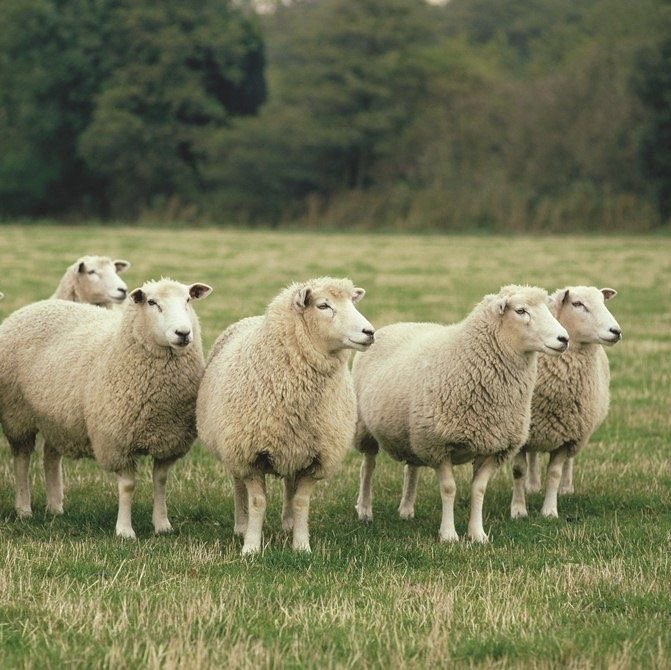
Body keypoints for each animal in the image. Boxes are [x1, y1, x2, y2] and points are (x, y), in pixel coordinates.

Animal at [0, 278, 212, 536]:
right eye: (152, 303)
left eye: (188, 300)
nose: (183, 333)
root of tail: (34, 306)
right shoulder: (117, 442)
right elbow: (128, 486)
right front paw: (124, 530)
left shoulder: (169, 440)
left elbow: (160, 481)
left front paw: (162, 524)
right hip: (17, 413)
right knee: (21, 459)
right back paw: (24, 508)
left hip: (57, 417)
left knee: (50, 456)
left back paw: (55, 507)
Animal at [197, 277, 375, 555]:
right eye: (323, 305)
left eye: (352, 303)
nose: (370, 332)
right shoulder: (249, 455)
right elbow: (257, 502)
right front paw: (251, 546)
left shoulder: (317, 456)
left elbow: (301, 501)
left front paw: (301, 545)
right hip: (232, 447)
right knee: (238, 486)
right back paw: (241, 525)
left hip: (295, 447)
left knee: (289, 485)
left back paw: (288, 524)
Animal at [352, 285, 569, 543]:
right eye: (520, 311)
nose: (564, 339)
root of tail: (394, 325)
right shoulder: (438, 444)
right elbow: (449, 489)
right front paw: (448, 535)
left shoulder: (493, 447)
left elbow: (479, 490)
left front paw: (478, 534)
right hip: (366, 428)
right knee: (367, 467)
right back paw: (365, 511)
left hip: (413, 432)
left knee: (411, 467)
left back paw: (406, 510)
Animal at [511, 286, 621, 519]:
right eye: (578, 304)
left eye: (603, 301)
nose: (616, 331)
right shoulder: (524, 433)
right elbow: (519, 471)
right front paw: (518, 509)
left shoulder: (567, 434)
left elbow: (554, 472)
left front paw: (549, 510)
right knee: (533, 455)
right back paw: (532, 485)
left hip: (580, 430)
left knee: (569, 461)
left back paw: (566, 488)